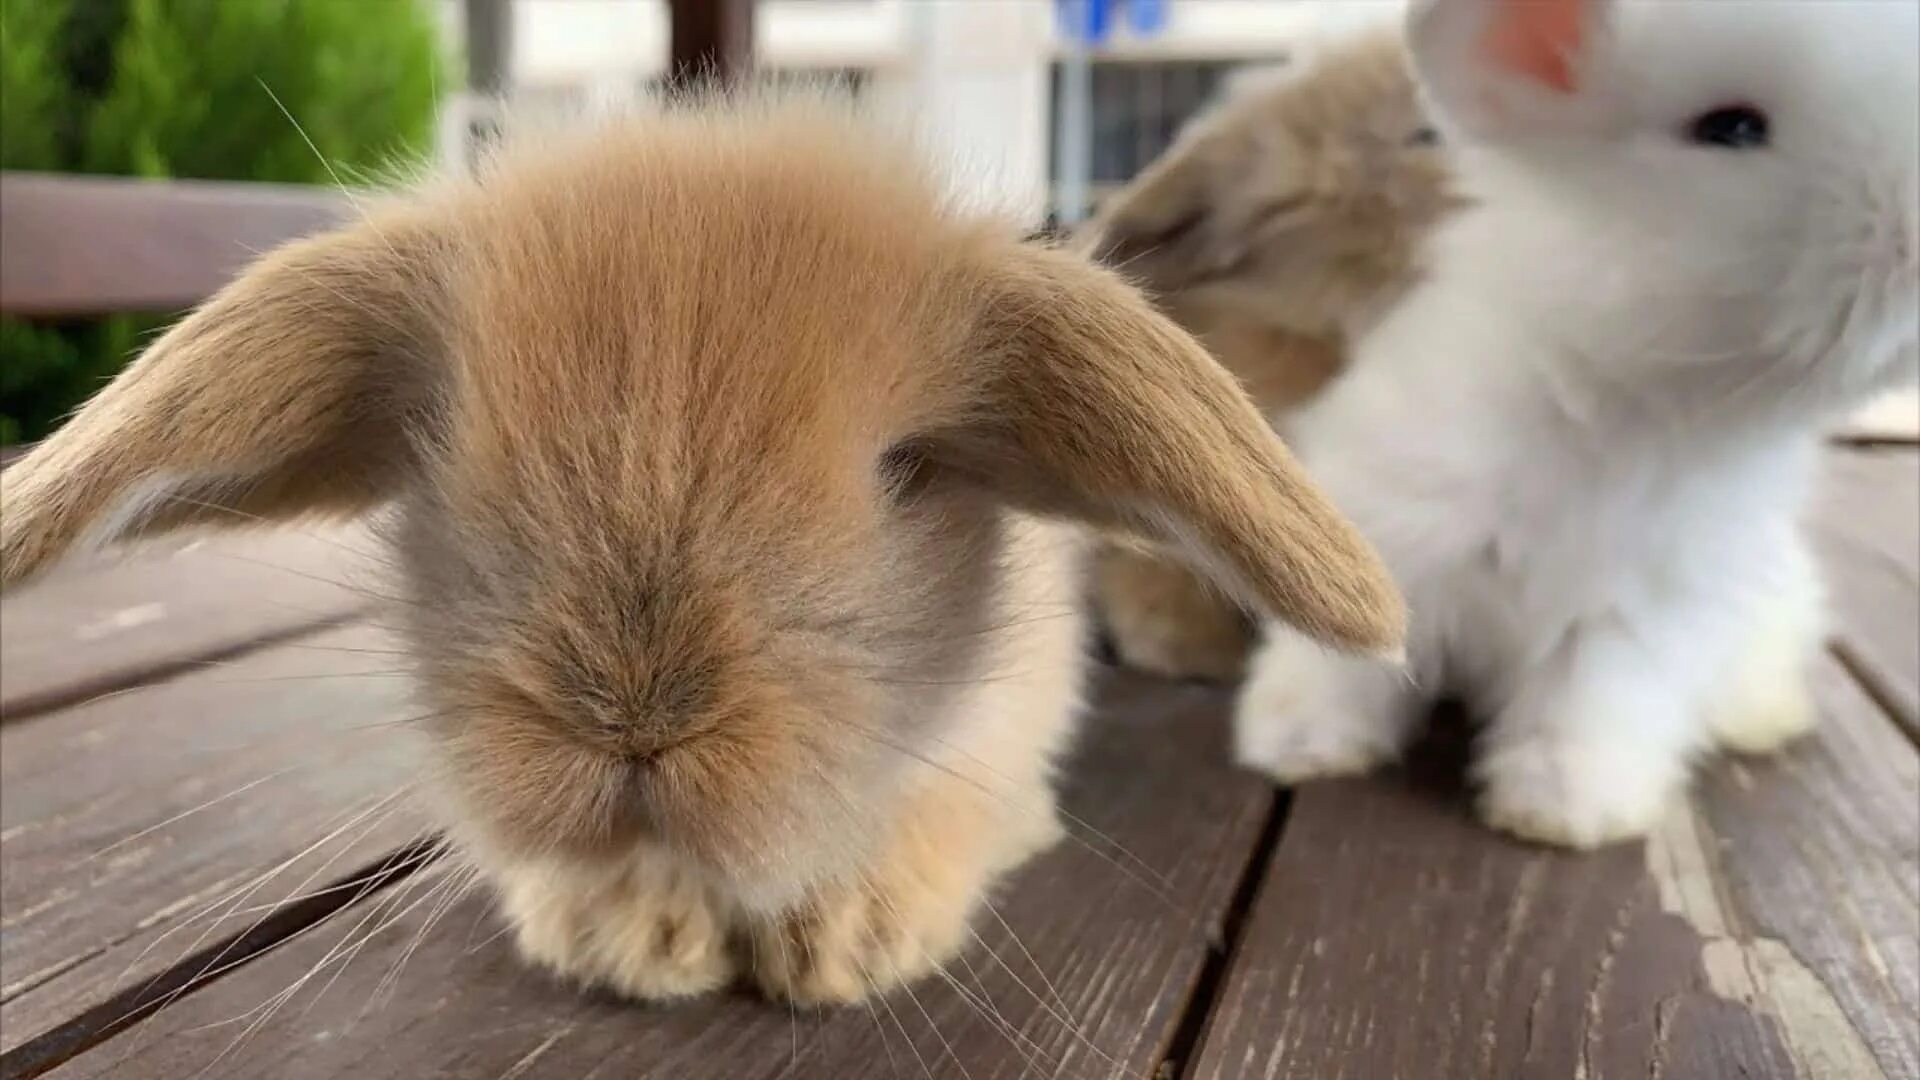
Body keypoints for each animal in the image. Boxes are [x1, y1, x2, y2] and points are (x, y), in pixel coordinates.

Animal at [3, 92, 1413, 999]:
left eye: (908, 471)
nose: (633, 726)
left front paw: (847, 944)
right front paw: (637, 944)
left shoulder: (1006, 744)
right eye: (441, 450)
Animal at [1228, 0, 1920, 845]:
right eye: (1730, 127)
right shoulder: (1389, 537)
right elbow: (1340, 664)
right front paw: (1296, 744)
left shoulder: (1635, 618)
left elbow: (1585, 708)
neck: (1623, 406)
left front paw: (1560, 813)